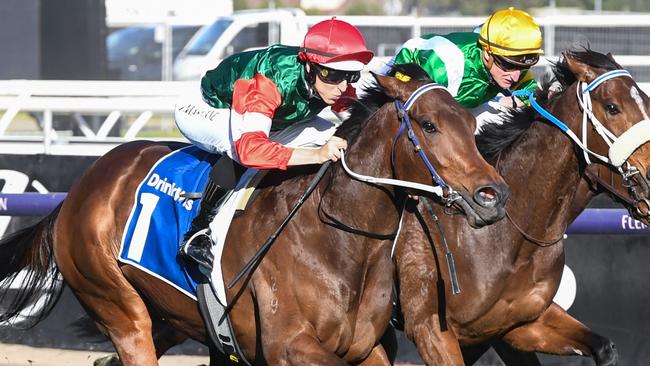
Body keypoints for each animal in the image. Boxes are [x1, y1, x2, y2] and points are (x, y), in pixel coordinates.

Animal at [0, 71, 508, 364]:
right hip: (118, 307)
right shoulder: (289, 346)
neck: (339, 240)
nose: (494, 195)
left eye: (471, 124)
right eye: (429, 126)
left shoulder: (365, 348)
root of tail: (76, 193)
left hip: (179, 317)